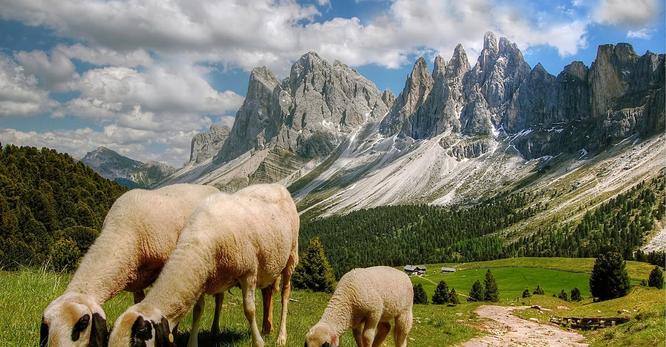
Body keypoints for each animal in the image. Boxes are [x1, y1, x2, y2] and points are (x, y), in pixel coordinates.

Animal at [40, 184, 219, 346]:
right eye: (47, 327)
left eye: (83, 323)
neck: (123, 228)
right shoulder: (136, 278)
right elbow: (139, 303)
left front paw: (173, 335)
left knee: (212, 302)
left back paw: (214, 331)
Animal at [107, 184, 300, 346]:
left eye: (138, 339)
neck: (199, 239)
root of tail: (277, 185)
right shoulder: (202, 276)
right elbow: (197, 311)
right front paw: (192, 343)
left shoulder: (248, 272)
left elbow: (249, 310)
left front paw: (258, 343)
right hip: (269, 263)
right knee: (268, 292)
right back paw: (267, 329)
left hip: (291, 255)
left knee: (285, 294)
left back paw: (281, 337)